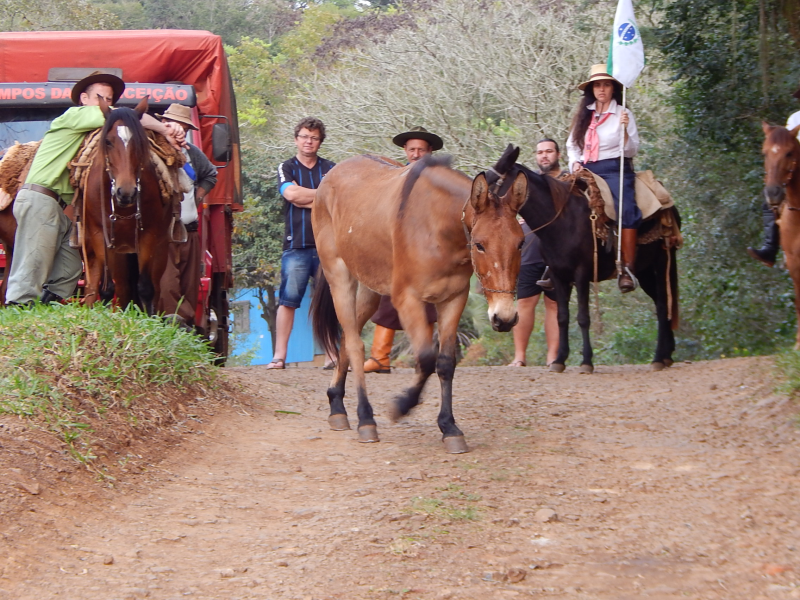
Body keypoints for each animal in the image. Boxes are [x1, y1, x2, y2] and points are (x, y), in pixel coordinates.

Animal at [82, 97, 174, 314]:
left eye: (139, 142)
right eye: (108, 141)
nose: (126, 192)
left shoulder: (148, 236)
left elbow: (146, 287)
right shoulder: (100, 235)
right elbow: (107, 287)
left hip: (159, 246)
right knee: (121, 286)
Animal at [310, 154, 527, 453]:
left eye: (521, 243)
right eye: (480, 245)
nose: (504, 317)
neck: (437, 227)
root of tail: (329, 176)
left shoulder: (452, 300)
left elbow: (445, 363)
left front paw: (449, 427)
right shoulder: (407, 300)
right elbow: (425, 359)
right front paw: (402, 406)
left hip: (369, 291)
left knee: (346, 339)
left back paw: (337, 405)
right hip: (340, 278)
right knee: (354, 345)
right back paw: (365, 418)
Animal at [487, 145, 680, 372]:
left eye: (492, 181)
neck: (563, 222)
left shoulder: (581, 275)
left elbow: (583, 317)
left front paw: (586, 361)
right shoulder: (558, 276)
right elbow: (562, 318)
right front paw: (559, 360)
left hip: (662, 263)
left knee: (662, 305)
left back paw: (659, 357)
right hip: (645, 270)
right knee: (661, 302)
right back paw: (667, 355)